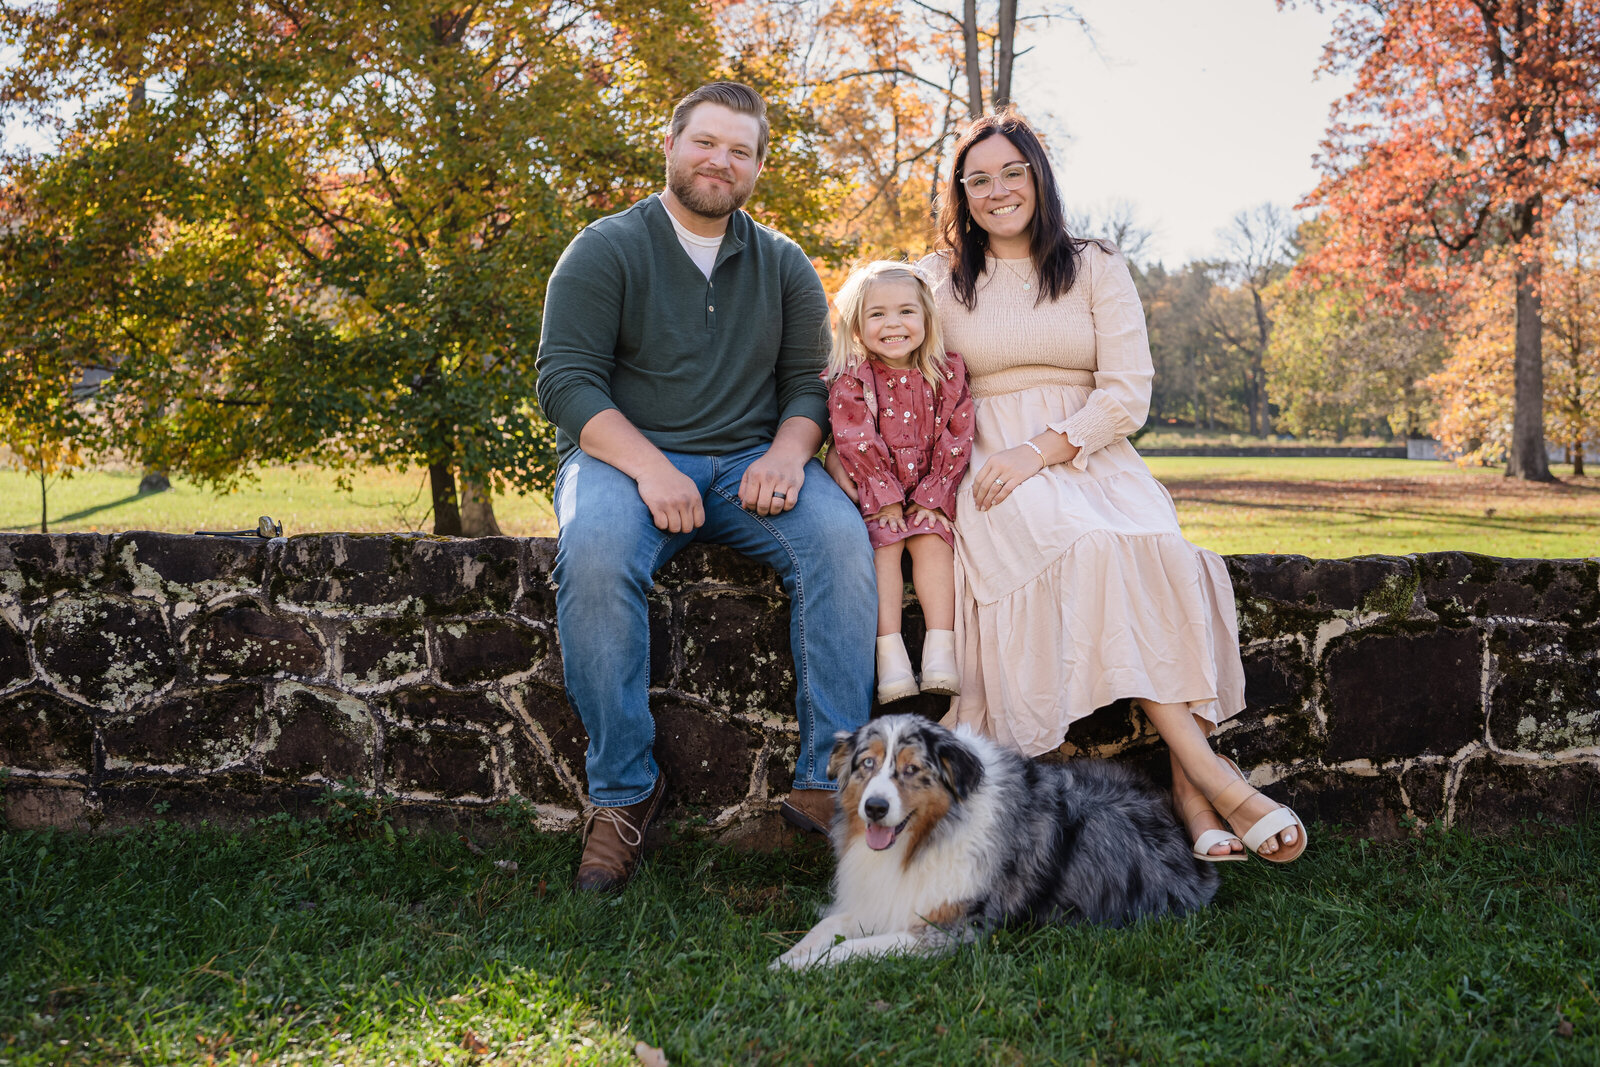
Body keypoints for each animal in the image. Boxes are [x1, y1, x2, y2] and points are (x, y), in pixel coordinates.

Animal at [771, 713, 1209, 972]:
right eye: (867, 764)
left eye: (912, 769)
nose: (874, 808)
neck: (923, 841)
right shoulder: (883, 900)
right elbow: (827, 926)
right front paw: (788, 957)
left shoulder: (949, 930)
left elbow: (850, 948)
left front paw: (801, 967)